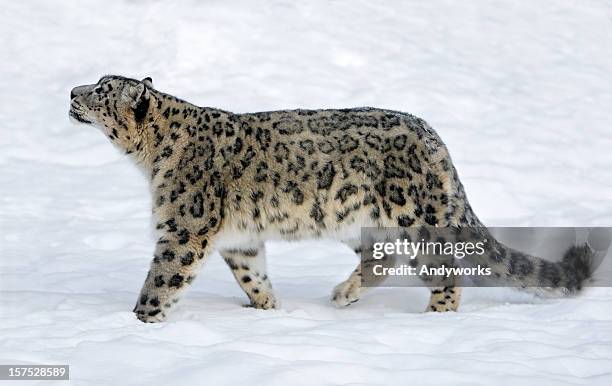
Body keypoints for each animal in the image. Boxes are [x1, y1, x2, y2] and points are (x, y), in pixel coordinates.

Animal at [68, 75, 592, 322]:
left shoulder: (184, 227)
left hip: (415, 216)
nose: (73, 90)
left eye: (102, 90)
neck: (150, 159)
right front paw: (268, 309)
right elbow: (252, 273)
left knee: (444, 266)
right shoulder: (239, 239)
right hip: (357, 219)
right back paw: (343, 295)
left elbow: (161, 280)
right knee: (383, 258)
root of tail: (434, 139)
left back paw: (435, 318)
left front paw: (138, 323)